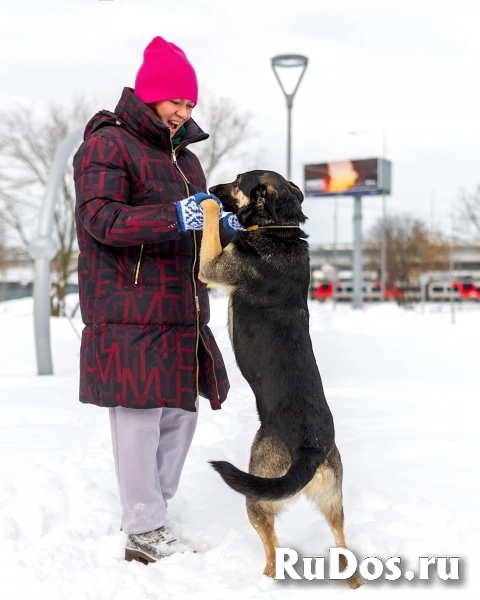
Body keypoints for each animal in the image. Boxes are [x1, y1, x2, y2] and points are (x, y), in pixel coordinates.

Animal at [199, 168, 364, 584]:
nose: (211, 188)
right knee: (342, 541)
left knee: (273, 549)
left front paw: (206, 207)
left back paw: (264, 580)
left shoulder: (212, 267)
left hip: (257, 493)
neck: (280, 229)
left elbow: (209, 233)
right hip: (333, 500)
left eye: (237, 181)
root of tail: (312, 446)